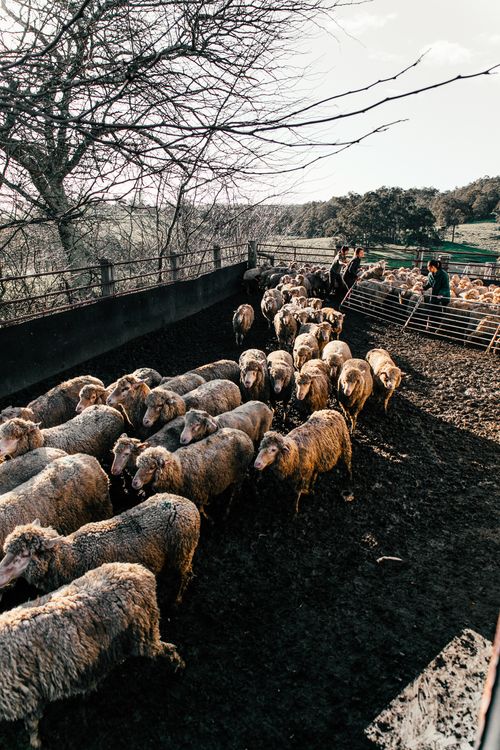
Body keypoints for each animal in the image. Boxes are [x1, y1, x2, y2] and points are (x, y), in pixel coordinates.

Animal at [0, 493, 200, 604]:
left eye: (25, 554)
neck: (71, 556)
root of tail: (187, 503)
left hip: (181, 554)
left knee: (183, 576)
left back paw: (175, 600)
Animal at [0, 562, 183, 749]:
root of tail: (139, 571)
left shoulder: (28, 697)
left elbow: (32, 725)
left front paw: (35, 743)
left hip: (144, 634)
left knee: (167, 650)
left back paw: (178, 667)